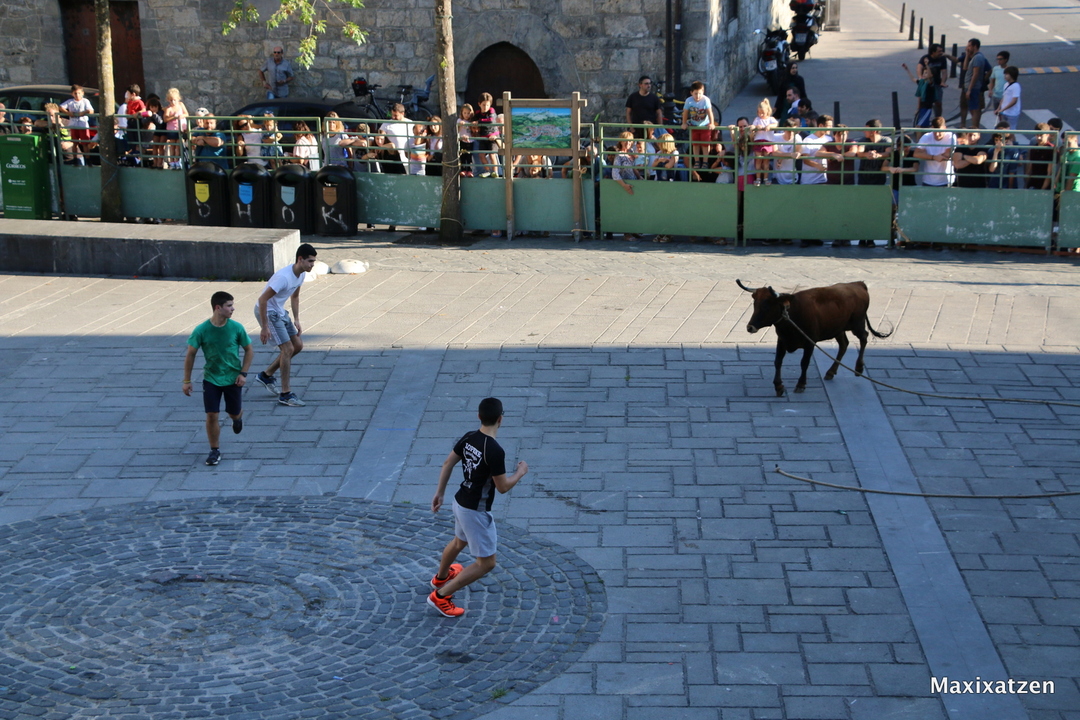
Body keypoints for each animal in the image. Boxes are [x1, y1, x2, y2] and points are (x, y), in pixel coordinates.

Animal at [736, 279, 892, 396]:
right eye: (755, 304)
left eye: (767, 305)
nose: (750, 327)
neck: (792, 315)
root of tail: (858, 284)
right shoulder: (782, 341)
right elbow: (778, 361)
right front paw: (779, 386)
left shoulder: (809, 342)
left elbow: (804, 363)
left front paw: (801, 384)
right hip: (838, 329)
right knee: (844, 344)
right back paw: (831, 372)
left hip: (857, 323)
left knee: (864, 337)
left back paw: (859, 368)